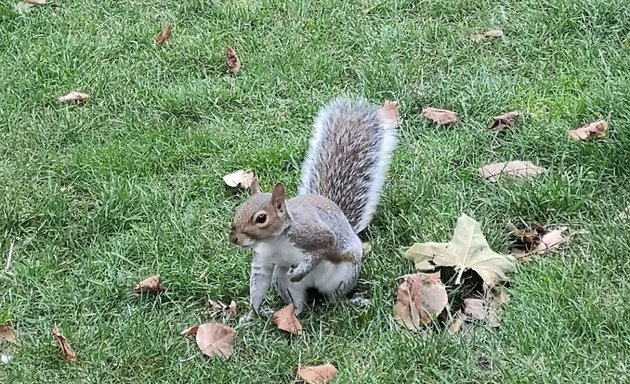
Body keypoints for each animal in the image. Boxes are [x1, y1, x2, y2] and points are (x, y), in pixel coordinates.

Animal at [231, 97, 400, 316]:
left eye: (261, 218)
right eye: (237, 210)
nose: (234, 238)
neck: (274, 240)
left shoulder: (313, 235)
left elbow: (322, 249)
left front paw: (299, 272)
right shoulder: (263, 257)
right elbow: (259, 282)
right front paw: (253, 313)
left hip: (344, 275)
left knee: (335, 297)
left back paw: (348, 302)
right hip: (282, 280)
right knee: (298, 301)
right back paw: (292, 313)